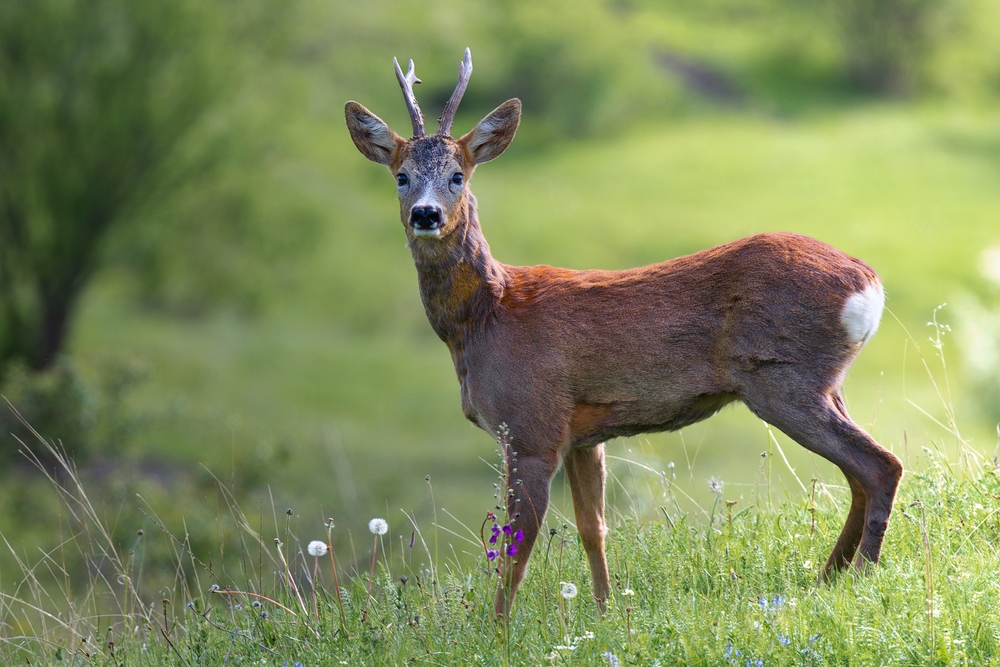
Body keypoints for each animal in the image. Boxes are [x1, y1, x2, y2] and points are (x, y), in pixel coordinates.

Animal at [344, 49, 900, 620]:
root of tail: (869, 284)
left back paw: (859, 574)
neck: (485, 318)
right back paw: (830, 574)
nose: (425, 213)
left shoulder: (531, 427)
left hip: (783, 381)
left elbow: (517, 547)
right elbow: (594, 527)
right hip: (825, 383)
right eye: (401, 176)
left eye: (458, 175)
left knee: (880, 464)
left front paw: (496, 627)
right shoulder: (582, 435)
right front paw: (606, 610)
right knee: (858, 470)